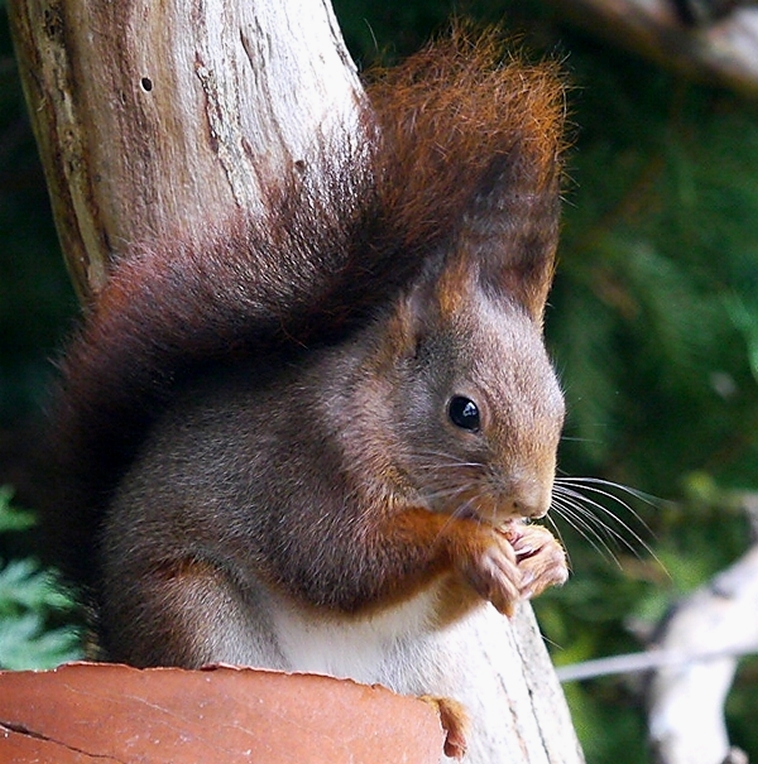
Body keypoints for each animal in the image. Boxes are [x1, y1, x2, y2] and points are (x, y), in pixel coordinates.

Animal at [46, 29, 568, 760]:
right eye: (464, 412)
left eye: (558, 408)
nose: (530, 503)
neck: (376, 414)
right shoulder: (307, 463)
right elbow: (340, 560)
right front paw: (468, 543)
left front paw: (544, 554)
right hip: (194, 611)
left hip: (398, 662)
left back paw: (437, 708)